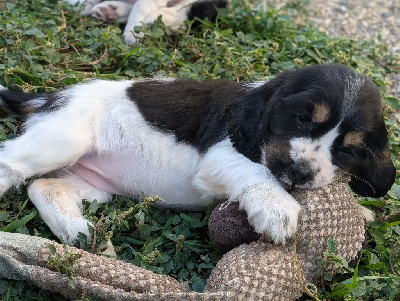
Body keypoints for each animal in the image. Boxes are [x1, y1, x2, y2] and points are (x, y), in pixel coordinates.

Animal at [0, 64, 396, 245]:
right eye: (302, 118)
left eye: (349, 149)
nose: (300, 172)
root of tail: (48, 98)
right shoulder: (219, 155)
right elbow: (258, 172)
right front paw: (278, 210)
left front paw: (360, 212)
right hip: (64, 138)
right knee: (10, 162)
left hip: (96, 186)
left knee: (43, 188)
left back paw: (80, 235)